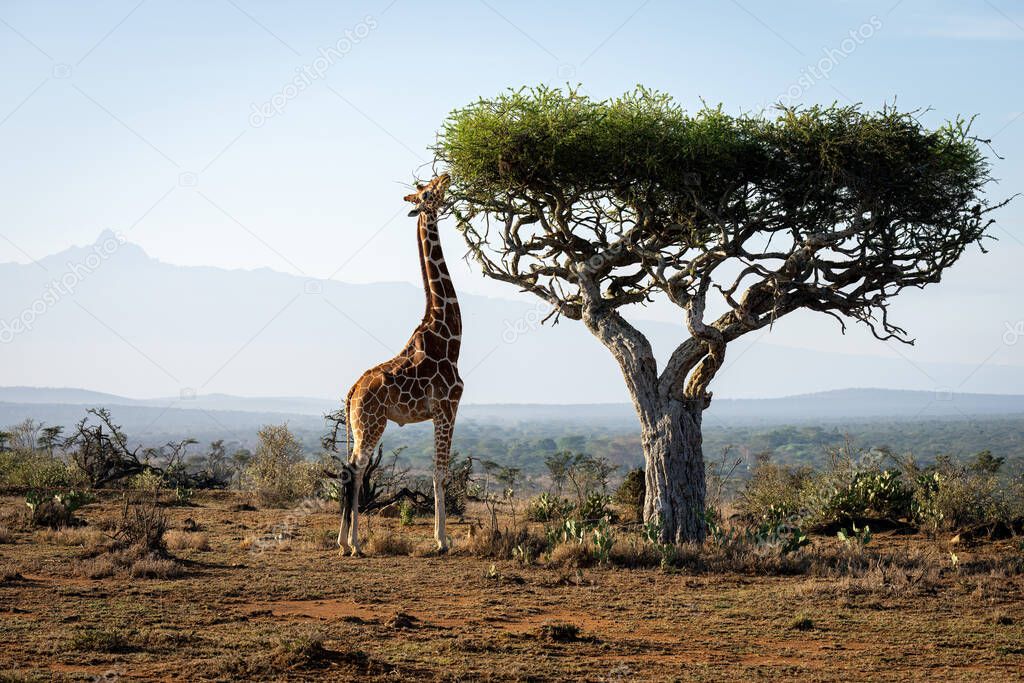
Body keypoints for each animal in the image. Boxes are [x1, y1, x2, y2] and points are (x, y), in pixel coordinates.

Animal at [337, 171, 462, 557]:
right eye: (428, 193)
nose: (446, 175)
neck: (449, 336)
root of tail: (351, 392)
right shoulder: (447, 407)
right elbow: (440, 473)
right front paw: (442, 541)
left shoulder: (439, 412)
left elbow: (437, 472)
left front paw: (440, 537)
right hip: (372, 423)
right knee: (355, 469)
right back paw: (355, 544)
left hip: (361, 425)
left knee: (348, 469)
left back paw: (342, 541)